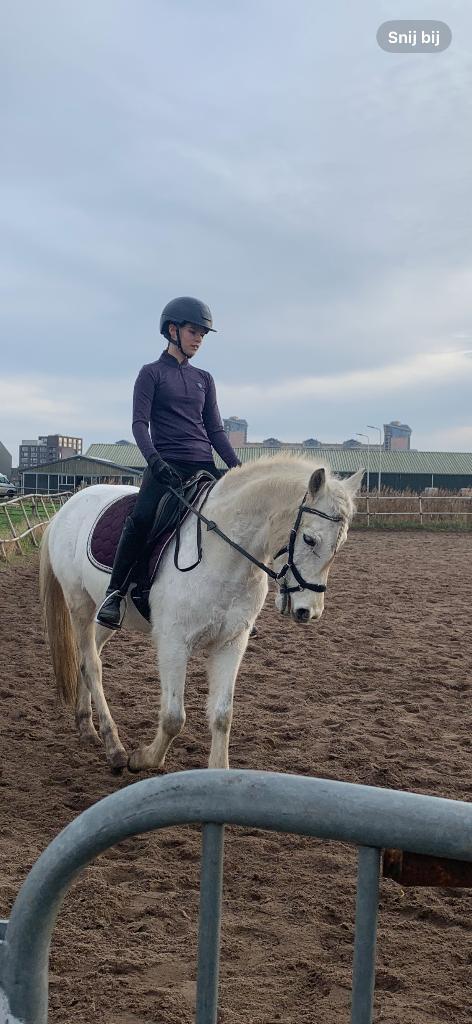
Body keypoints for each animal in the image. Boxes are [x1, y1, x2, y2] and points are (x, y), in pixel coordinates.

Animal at [39, 456, 363, 772]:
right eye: (309, 539)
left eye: (342, 543)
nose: (308, 611)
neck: (221, 552)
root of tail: (69, 506)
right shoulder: (173, 643)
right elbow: (174, 718)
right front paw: (142, 759)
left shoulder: (231, 643)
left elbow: (222, 715)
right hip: (80, 605)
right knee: (92, 665)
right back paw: (114, 748)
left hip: (105, 616)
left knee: (86, 659)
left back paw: (86, 727)